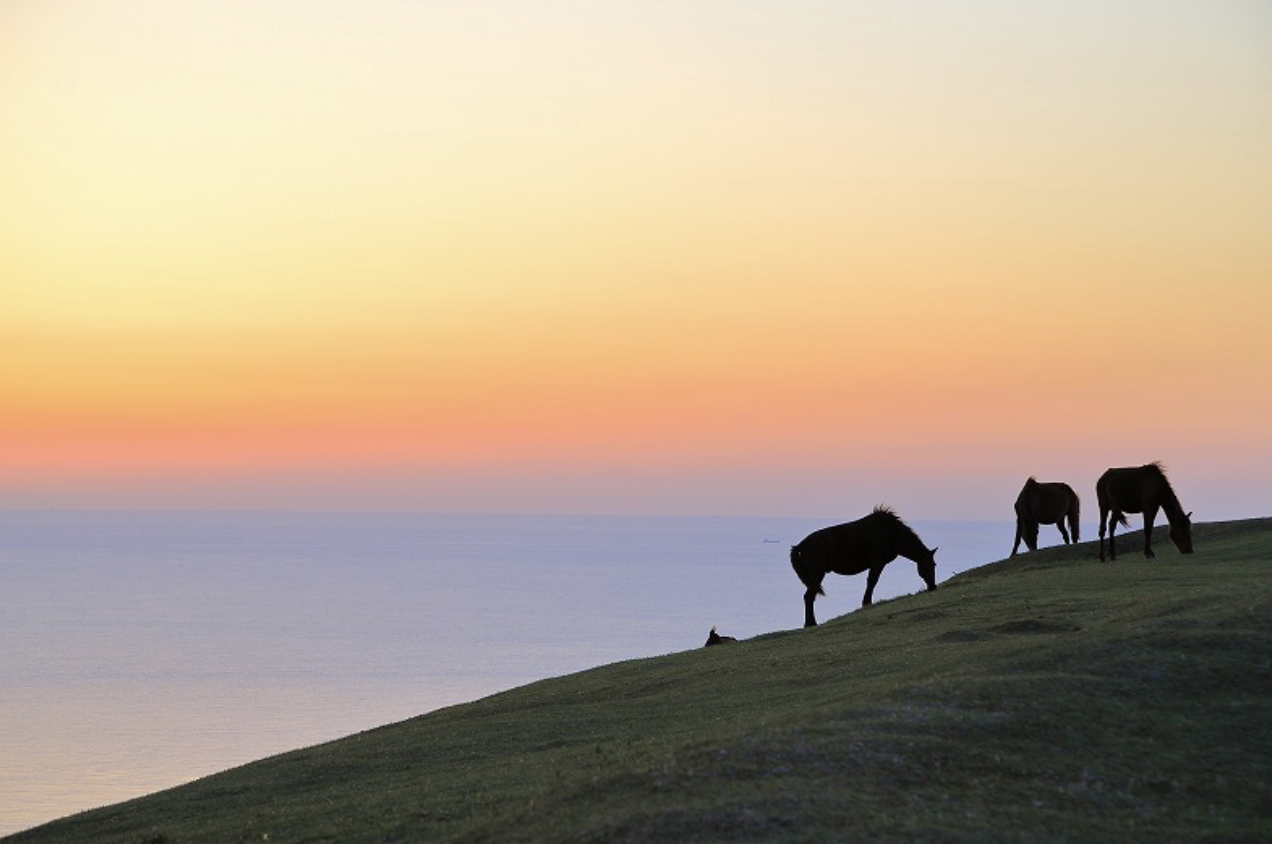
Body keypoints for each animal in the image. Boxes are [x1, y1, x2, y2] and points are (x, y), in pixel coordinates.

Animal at [783, 508, 936, 625]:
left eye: (934, 565)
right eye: (929, 566)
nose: (933, 587)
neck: (890, 531)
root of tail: (800, 546)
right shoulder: (877, 563)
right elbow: (872, 582)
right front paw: (866, 602)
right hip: (817, 574)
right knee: (808, 597)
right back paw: (810, 623)